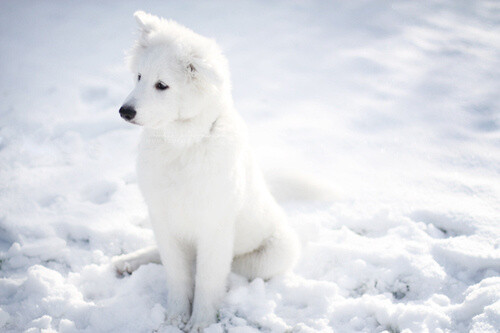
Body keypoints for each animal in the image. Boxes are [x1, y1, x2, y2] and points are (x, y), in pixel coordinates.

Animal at [113, 11, 298, 330]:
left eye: (162, 85)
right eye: (139, 76)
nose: (125, 111)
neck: (182, 145)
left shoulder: (214, 227)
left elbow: (207, 279)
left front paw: (200, 322)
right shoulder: (163, 219)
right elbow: (177, 274)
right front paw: (174, 318)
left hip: (272, 254)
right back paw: (129, 262)